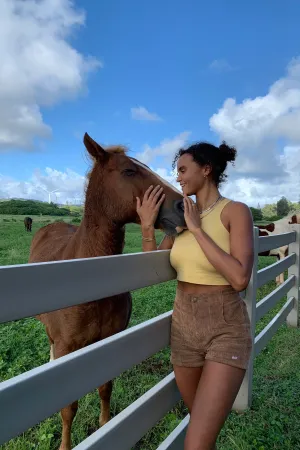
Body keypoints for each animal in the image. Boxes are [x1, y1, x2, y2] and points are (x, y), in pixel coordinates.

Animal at [29, 132, 186, 448]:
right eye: (129, 171)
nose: (183, 207)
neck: (93, 276)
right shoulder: (66, 348)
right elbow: (68, 406)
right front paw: (65, 444)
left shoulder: (110, 341)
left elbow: (104, 388)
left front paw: (104, 426)